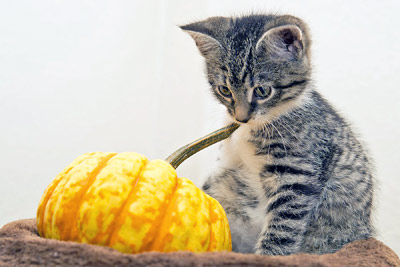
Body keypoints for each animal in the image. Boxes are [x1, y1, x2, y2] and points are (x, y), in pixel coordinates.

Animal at [181, 14, 376, 255]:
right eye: (224, 90)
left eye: (262, 91)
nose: (241, 117)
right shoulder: (225, 163)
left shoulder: (296, 173)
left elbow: (282, 227)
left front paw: (267, 256)